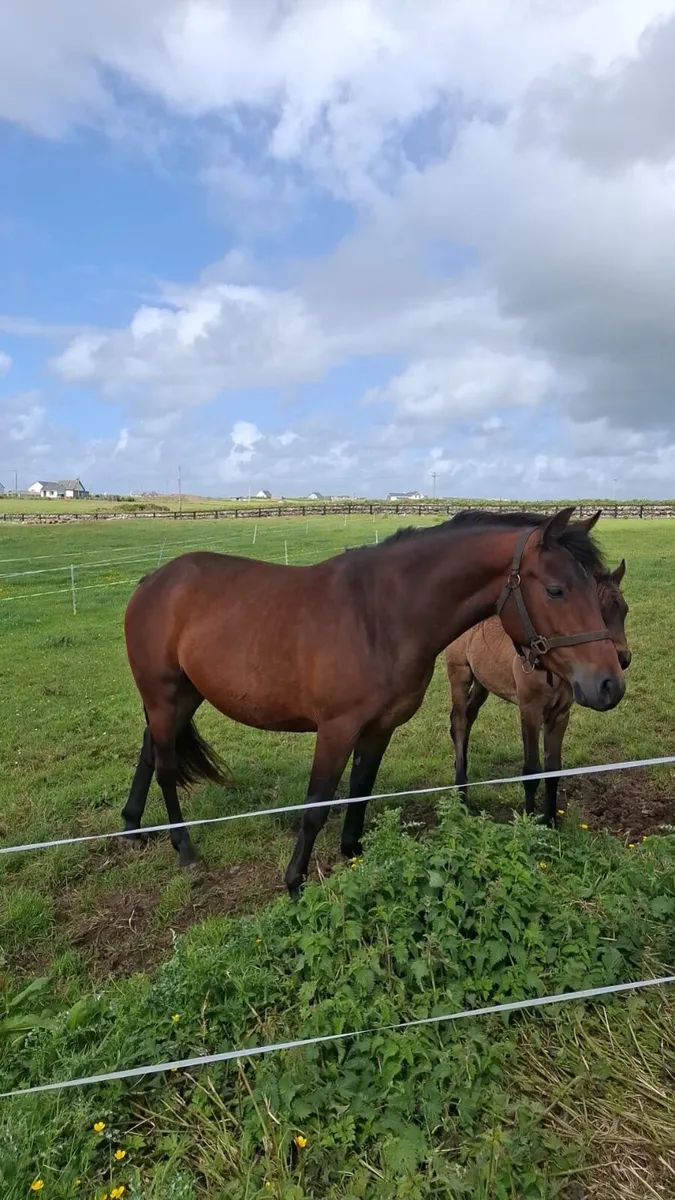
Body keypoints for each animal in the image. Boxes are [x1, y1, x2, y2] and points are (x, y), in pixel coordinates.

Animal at [445, 554, 629, 827]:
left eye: (624, 610)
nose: (623, 659)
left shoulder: (560, 714)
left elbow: (553, 769)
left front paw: (550, 821)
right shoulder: (530, 710)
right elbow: (531, 770)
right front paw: (528, 823)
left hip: (482, 684)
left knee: (467, 718)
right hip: (459, 673)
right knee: (458, 722)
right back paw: (461, 793)